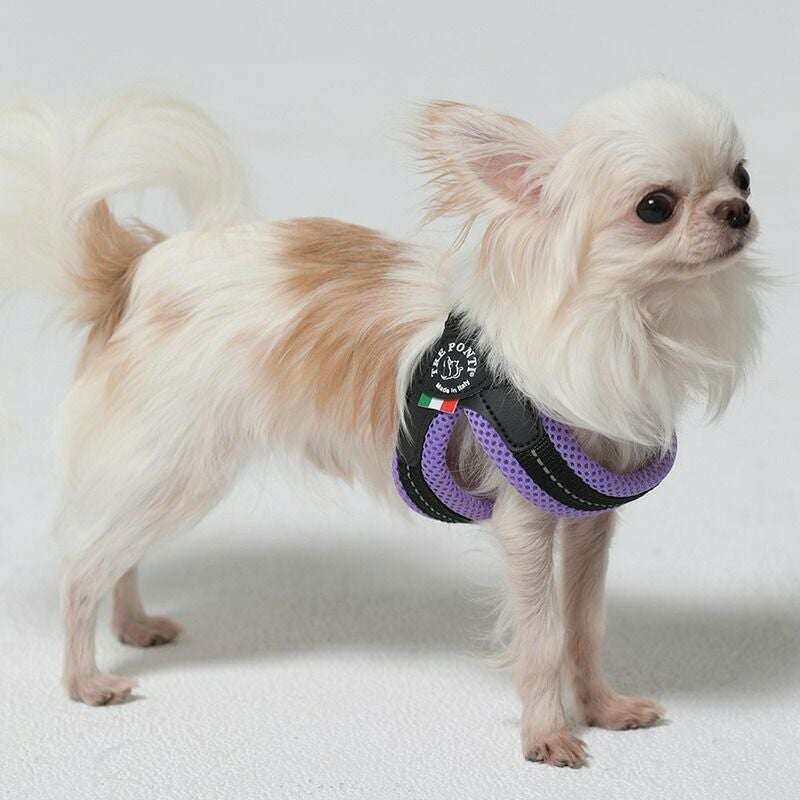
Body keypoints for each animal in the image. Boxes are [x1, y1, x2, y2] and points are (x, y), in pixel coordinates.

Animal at [0, 77, 763, 767]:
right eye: (656, 207)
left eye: (744, 176)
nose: (737, 211)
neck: (626, 321)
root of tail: (136, 269)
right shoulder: (524, 522)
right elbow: (544, 636)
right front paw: (547, 737)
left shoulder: (589, 524)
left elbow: (585, 625)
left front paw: (604, 709)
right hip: (175, 465)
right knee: (82, 566)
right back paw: (86, 679)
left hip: (162, 472)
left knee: (115, 551)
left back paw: (132, 626)